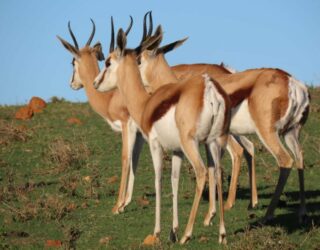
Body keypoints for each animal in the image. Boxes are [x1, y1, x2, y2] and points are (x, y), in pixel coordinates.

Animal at [94, 27, 231, 244]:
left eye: (108, 61)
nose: (95, 83)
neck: (146, 105)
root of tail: (208, 87)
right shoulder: (177, 151)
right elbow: (174, 182)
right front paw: (173, 230)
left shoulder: (154, 144)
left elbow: (158, 180)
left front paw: (158, 231)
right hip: (214, 142)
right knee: (217, 172)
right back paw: (222, 234)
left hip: (192, 144)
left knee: (202, 172)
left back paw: (187, 234)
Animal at [139, 23, 310, 224]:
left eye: (138, 59)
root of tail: (292, 82)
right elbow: (214, 168)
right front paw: (212, 213)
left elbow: (214, 169)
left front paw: (210, 215)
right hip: (290, 132)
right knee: (298, 156)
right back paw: (300, 212)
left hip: (267, 133)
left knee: (284, 160)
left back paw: (266, 215)